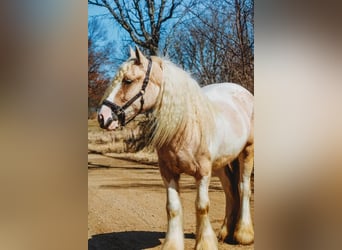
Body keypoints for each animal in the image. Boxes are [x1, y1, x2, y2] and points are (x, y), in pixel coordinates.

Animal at [97, 47, 252, 250]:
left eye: (128, 81)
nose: (102, 117)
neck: (185, 126)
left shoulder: (203, 173)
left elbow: (202, 206)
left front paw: (204, 243)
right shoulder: (168, 172)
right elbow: (173, 208)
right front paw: (172, 244)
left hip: (247, 153)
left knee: (243, 188)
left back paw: (243, 235)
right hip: (221, 164)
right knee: (230, 191)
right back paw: (225, 233)